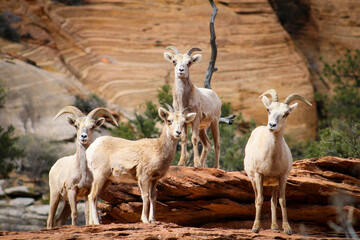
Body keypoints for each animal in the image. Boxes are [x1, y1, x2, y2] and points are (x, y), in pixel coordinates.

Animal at [245, 89, 312, 234]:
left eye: (286, 114)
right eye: (268, 109)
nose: (272, 125)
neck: (271, 159)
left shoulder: (282, 176)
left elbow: (282, 201)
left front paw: (287, 229)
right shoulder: (259, 175)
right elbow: (259, 200)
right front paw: (256, 228)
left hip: (274, 184)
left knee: (272, 201)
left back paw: (274, 227)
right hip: (253, 180)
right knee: (256, 198)